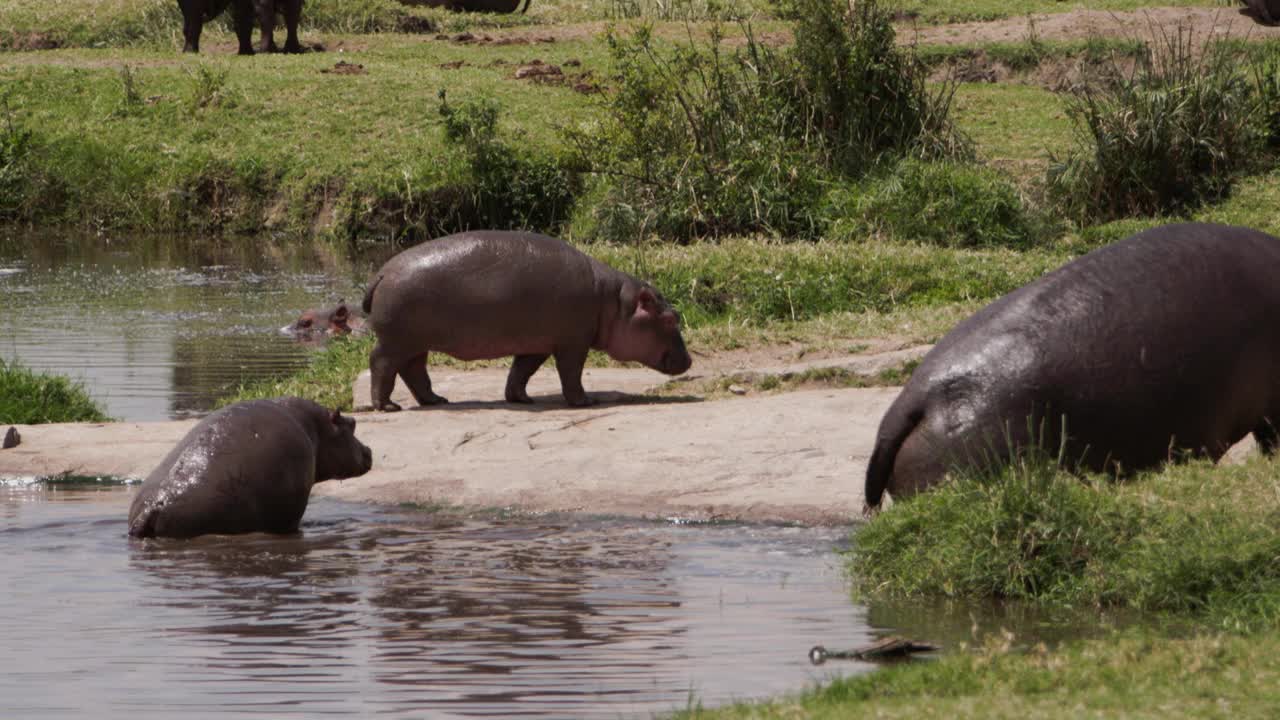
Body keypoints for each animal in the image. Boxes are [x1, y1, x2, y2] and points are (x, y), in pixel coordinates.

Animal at [366, 229, 696, 409]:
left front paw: (521, 399)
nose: (691, 360)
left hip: (414, 342)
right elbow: (571, 374)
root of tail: (381, 273)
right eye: (670, 318)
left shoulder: (537, 344)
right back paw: (388, 406)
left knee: (414, 371)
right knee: (382, 364)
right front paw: (585, 402)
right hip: (396, 341)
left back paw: (437, 400)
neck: (614, 302)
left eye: (677, 314)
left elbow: (521, 371)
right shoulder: (572, 344)